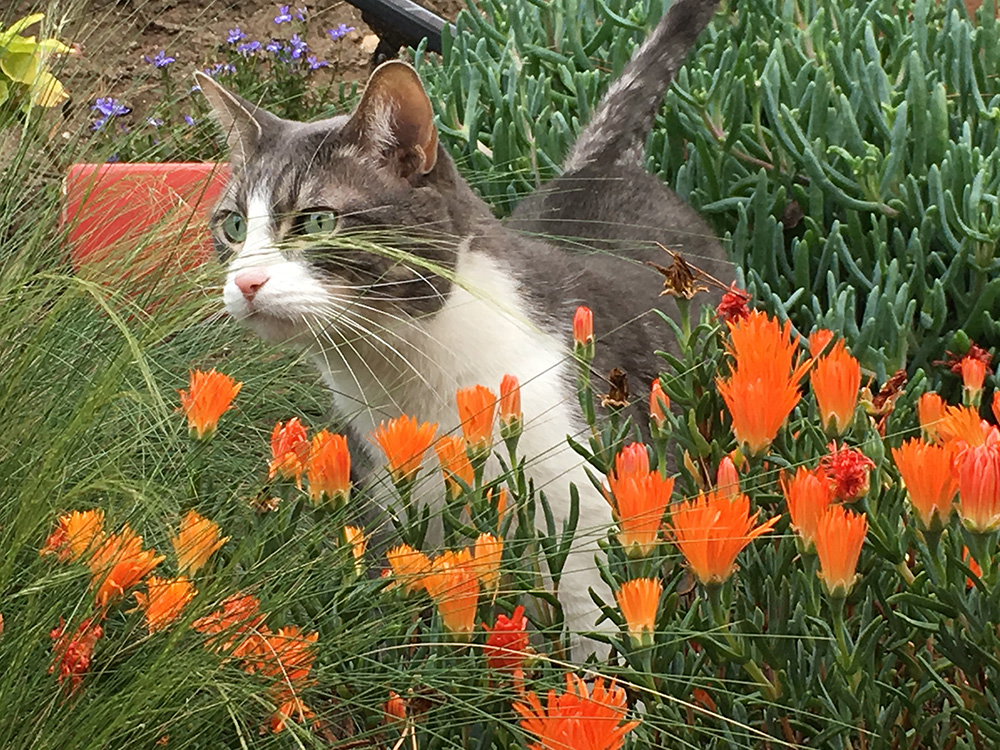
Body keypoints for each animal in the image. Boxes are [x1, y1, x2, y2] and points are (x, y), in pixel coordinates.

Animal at [195, 0, 732, 648]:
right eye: (232, 226)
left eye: (318, 221)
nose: (246, 281)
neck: (409, 381)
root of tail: (605, 168)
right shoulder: (400, 526)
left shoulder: (588, 531)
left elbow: (593, 645)